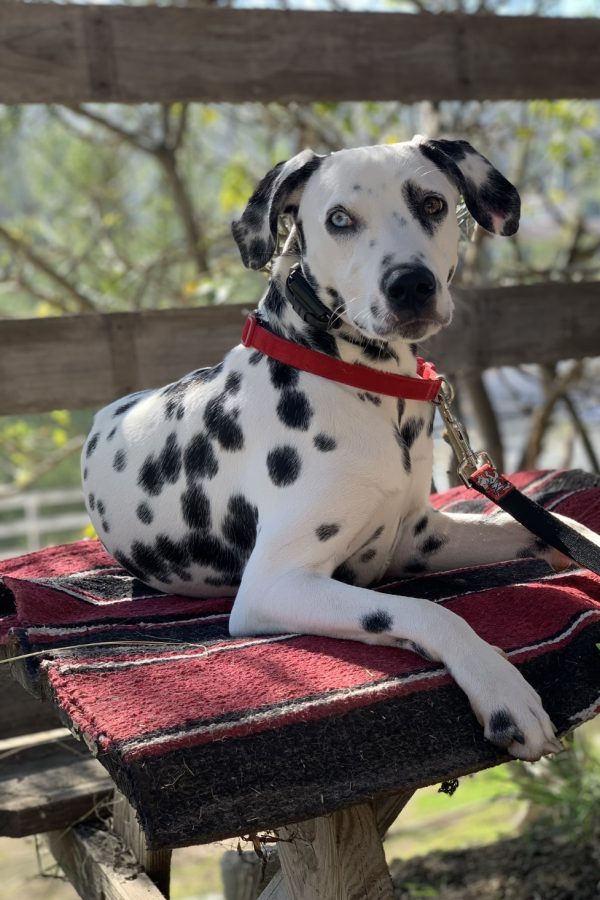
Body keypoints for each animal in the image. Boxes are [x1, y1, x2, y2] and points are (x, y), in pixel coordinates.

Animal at [81, 137, 600, 764]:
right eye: (339, 219)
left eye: (431, 203)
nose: (409, 284)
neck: (365, 385)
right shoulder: (276, 586)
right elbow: (427, 609)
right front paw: (501, 687)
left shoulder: (418, 537)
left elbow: (555, 526)